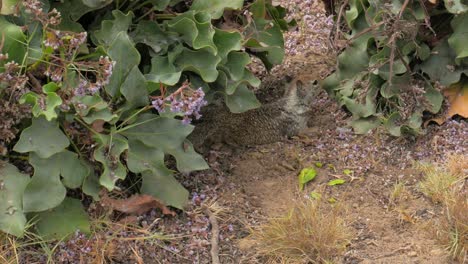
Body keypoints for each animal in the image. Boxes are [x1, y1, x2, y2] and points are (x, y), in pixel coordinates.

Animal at [187, 75, 318, 152]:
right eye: (315, 82)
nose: (319, 79)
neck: (293, 103)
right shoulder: (296, 126)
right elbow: (304, 131)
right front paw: (316, 130)